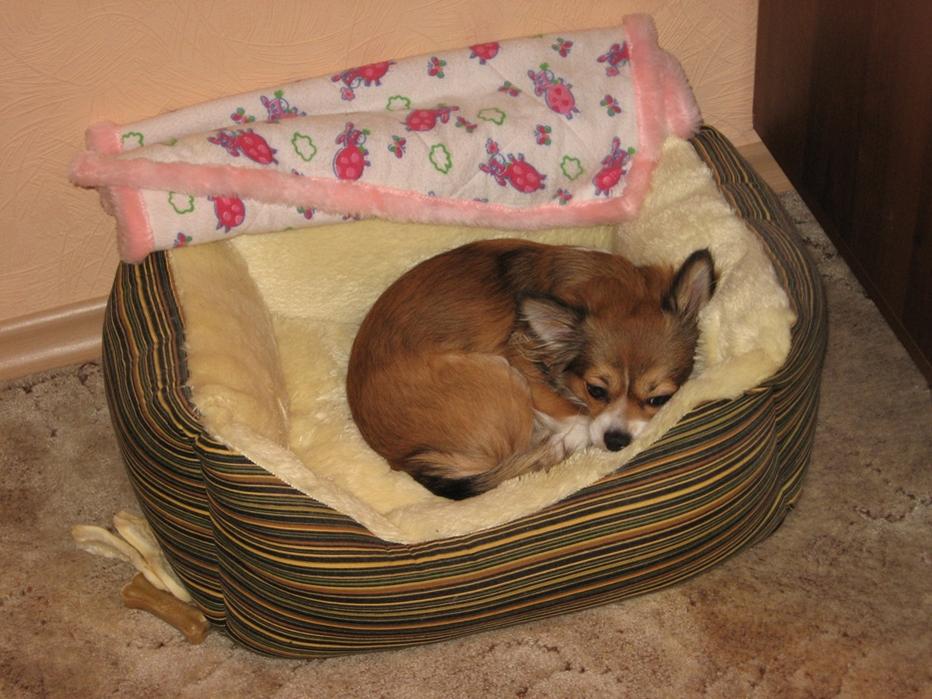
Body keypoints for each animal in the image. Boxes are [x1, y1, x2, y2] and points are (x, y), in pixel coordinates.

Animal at [347, 239, 715, 499]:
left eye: (658, 400)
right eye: (595, 390)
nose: (616, 441)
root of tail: (404, 459)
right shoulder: (520, 363)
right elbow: (579, 421)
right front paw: (576, 432)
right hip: (498, 374)